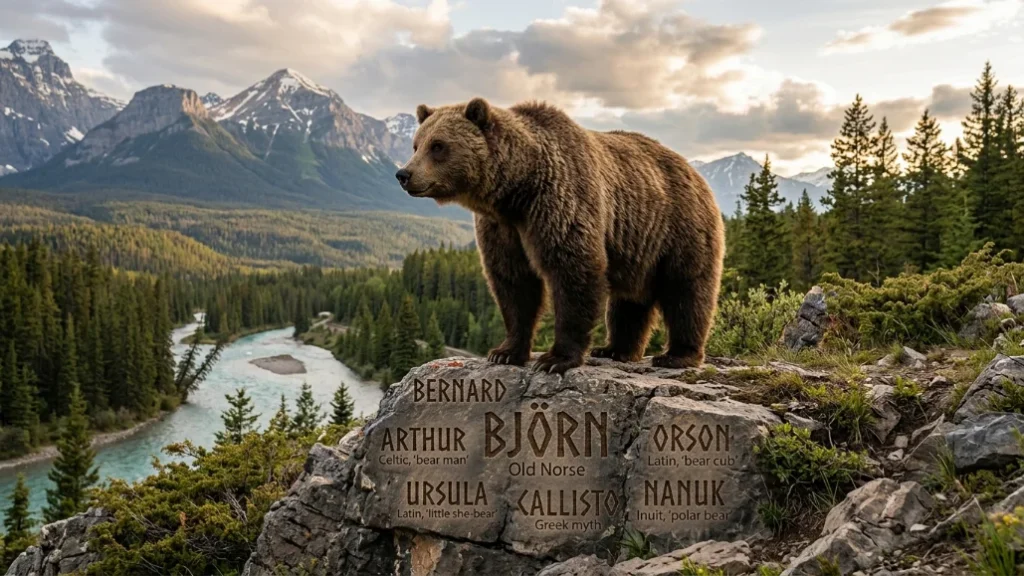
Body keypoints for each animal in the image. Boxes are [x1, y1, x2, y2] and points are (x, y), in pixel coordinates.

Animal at [395, 98, 724, 374]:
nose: (404, 174)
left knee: (687, 291)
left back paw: (677, 355)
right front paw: (505, 351)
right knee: (629, 302)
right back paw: (615, 349)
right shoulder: (502, 228)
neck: (517, 190)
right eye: (416, 145)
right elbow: (513, 283)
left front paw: (556, 358)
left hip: (680, 229)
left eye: (438, 146)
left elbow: (573, 271)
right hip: (638, 245)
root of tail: (694, 172)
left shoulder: (559, 201)